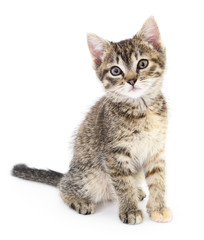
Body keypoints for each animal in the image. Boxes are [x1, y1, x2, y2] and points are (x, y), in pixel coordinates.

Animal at [11, 17, 172, 225]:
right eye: (115, 70)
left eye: (142, 63)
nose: (131, 80)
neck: (142, 109)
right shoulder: (114, 155)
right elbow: (123, 184)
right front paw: (130, 210)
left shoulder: (156, 149)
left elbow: (158, 180)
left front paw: (158, 208)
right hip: (90, 175)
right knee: (64, 186)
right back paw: (79, 200)